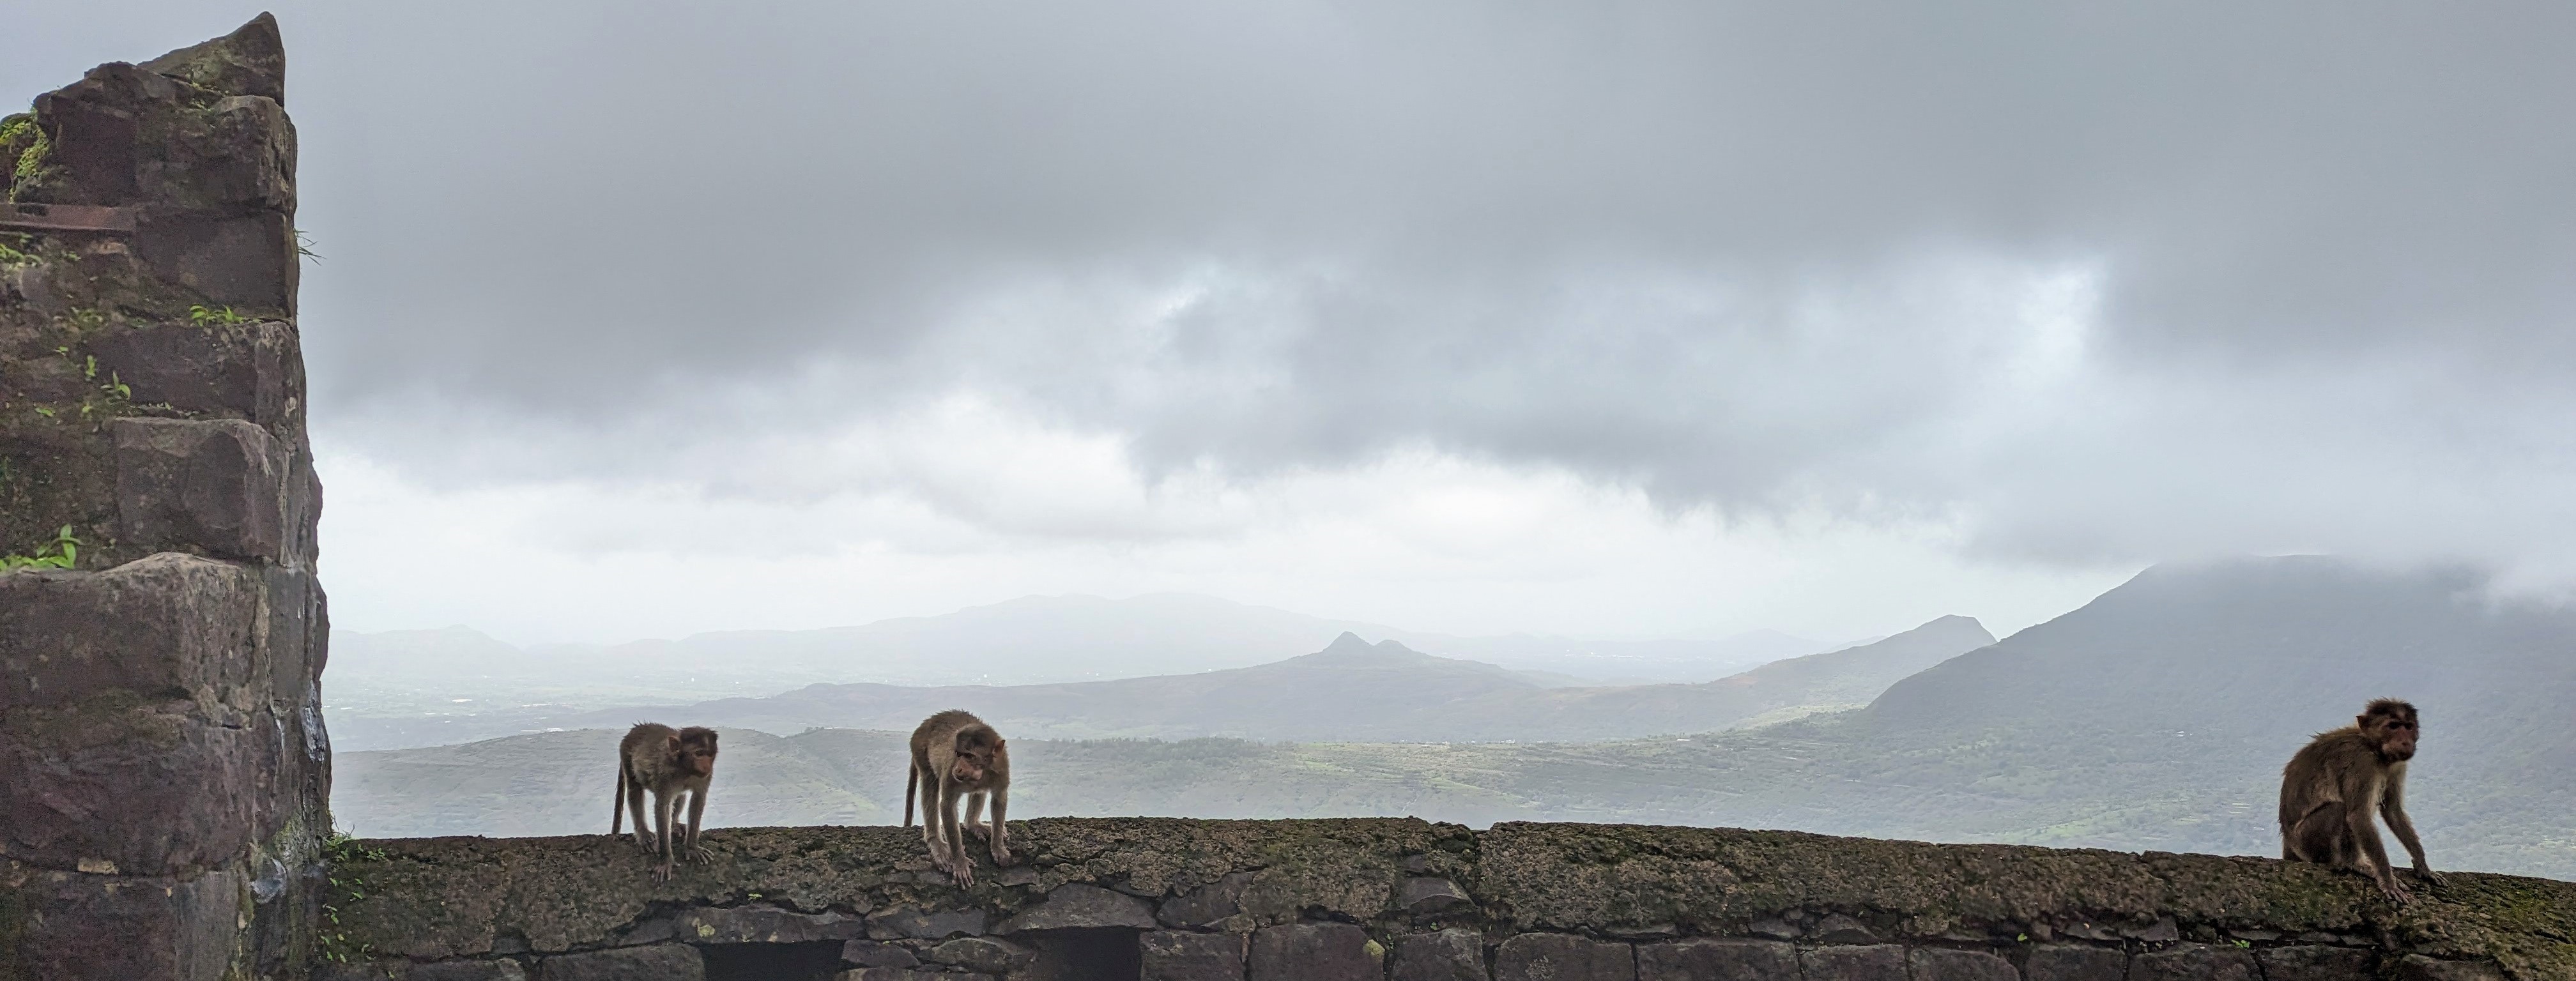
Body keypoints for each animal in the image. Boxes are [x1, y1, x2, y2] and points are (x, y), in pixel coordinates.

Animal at [610, 720, 721, 880]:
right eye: (699, 753)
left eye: (711, 755)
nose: (707, 766)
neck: (684, 768)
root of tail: (636, 729)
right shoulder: (665, 773)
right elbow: (662, 807)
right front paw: (666, 860)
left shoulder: (706, 776)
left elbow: (698, 799)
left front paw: (692, 847)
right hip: (626, 752)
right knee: (634, 789)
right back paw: (644, 834)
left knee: (680, 796)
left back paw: (674, 825)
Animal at [907, 705, 1015, 880]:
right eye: (959, 754)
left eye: (970, 756)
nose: (958, 768)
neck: (981, 773)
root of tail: (926, 723)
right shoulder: (951, 772)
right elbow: (947, 805)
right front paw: (960, 861)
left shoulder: (1002, 768)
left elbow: (999, 799)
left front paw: (998, 847)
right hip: (919, 749)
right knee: (930, 783)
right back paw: (935, 841)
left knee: (979, 791)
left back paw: (973, 824)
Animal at [2287, 695, 2442, 901]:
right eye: (2393, 726)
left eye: (2408, 727)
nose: (2405, 742)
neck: (2374, 747)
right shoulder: (2363, 763)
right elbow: (2358, 816)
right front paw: (2388, 881)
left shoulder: (2397, 765)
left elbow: (2392, 810)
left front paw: (2423, 866)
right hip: (2304, 842)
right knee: (2339, 809)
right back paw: (2354, 864)